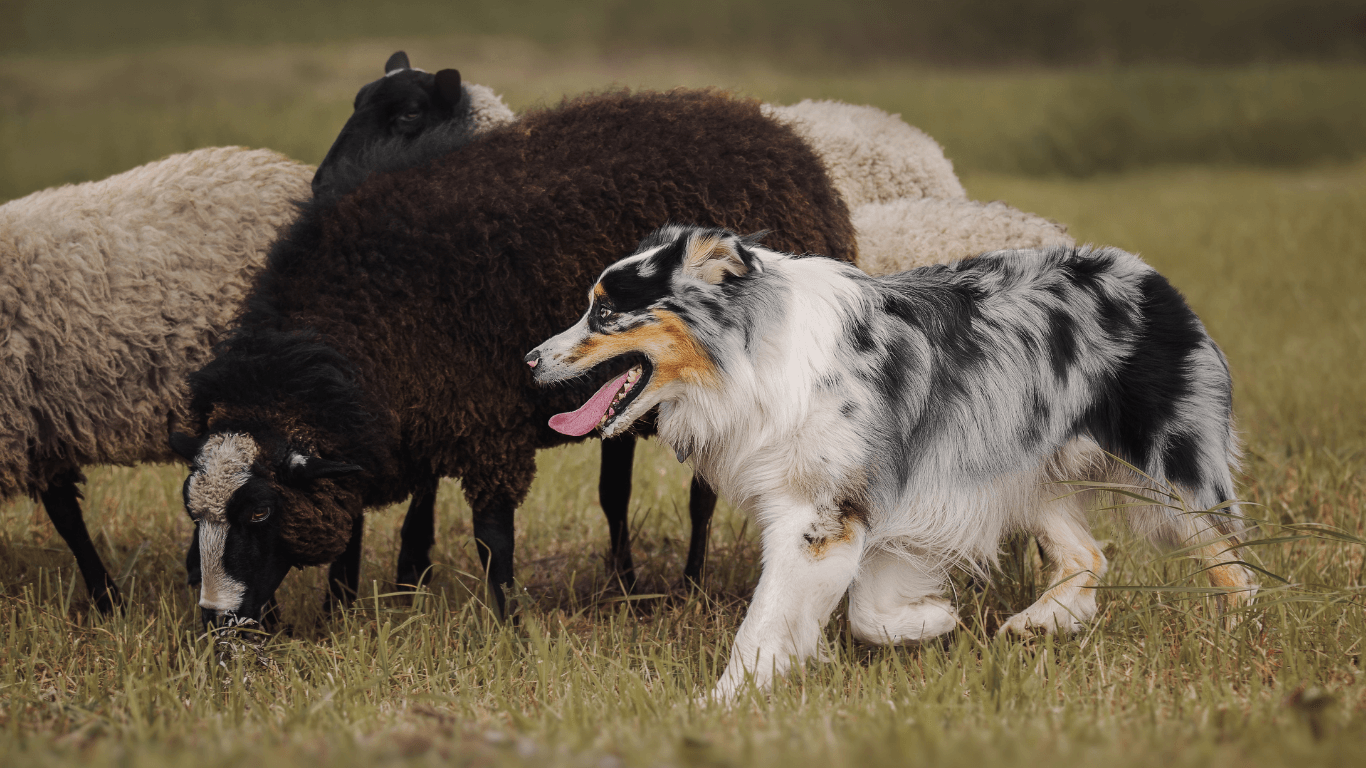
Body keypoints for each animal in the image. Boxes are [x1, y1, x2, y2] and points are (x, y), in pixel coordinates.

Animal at [173, 88, 857, 627]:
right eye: (191, 509)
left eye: (259, 511)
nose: (215, 621)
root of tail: (769, 128)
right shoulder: (389, 429)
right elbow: (355, 529)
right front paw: (341, 611)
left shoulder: (487, 426)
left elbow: (492, 539)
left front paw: (508, 627)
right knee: (617, 491)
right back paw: (624, 586)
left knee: (702, 498)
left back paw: (690, 586)